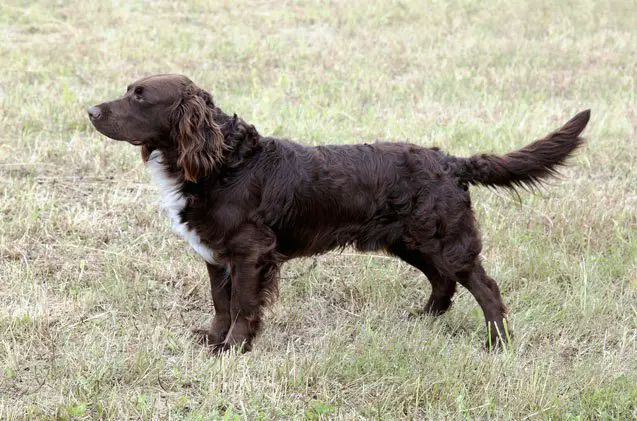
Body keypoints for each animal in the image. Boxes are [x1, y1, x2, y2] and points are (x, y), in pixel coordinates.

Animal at [87, 73, 588, 352]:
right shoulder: (216, 255)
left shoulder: (251, 254)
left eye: (140, 97)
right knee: (443, 282)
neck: (223, 163)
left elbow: (244, 306)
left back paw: (497, 344)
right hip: (410, 241)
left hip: (444, 240)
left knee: (486, 288)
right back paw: (423, 319)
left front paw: (232, 350)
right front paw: (213, 339)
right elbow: (220, 303)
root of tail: (448, 161)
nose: (90, 110)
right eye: (128, 90)